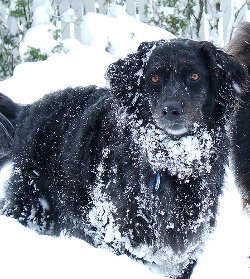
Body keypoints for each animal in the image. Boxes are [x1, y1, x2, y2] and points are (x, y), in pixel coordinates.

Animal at [0, 38, 248, 278]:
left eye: (195, 76)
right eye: (154, 78)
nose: (172, 110)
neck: (171, 161)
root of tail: (28, 110)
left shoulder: (188, 246)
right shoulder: (121, 235)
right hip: (32, 205)